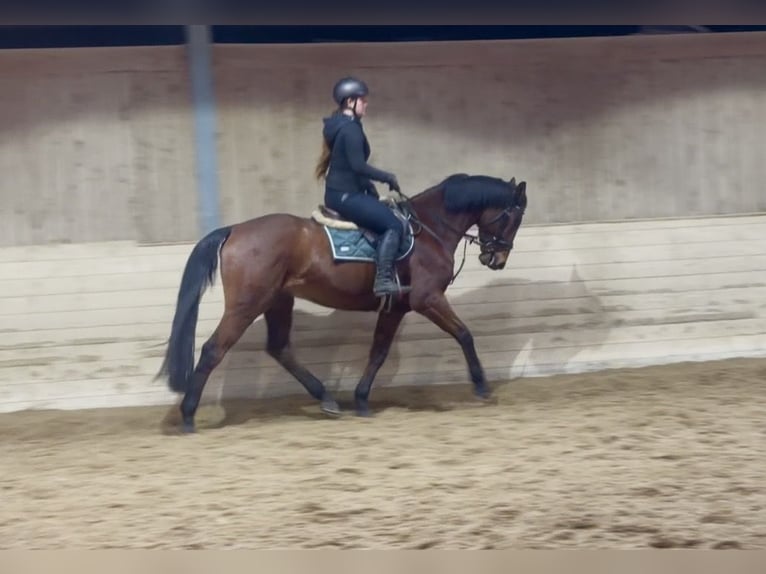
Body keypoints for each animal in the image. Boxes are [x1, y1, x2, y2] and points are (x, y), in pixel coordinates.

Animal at [157, 173, 528, 433]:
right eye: (514, 217)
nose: (497, 259)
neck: (429, 229)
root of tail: (235, 229)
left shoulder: (396, 307)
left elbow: (378, 352)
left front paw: (362, 400)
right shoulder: (428, 299)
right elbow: (464, 334)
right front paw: (481, 386)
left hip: (278, 301)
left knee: (280, 349)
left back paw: (327, 400)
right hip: (247, 305)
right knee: (213, 350)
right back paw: (188, 416)